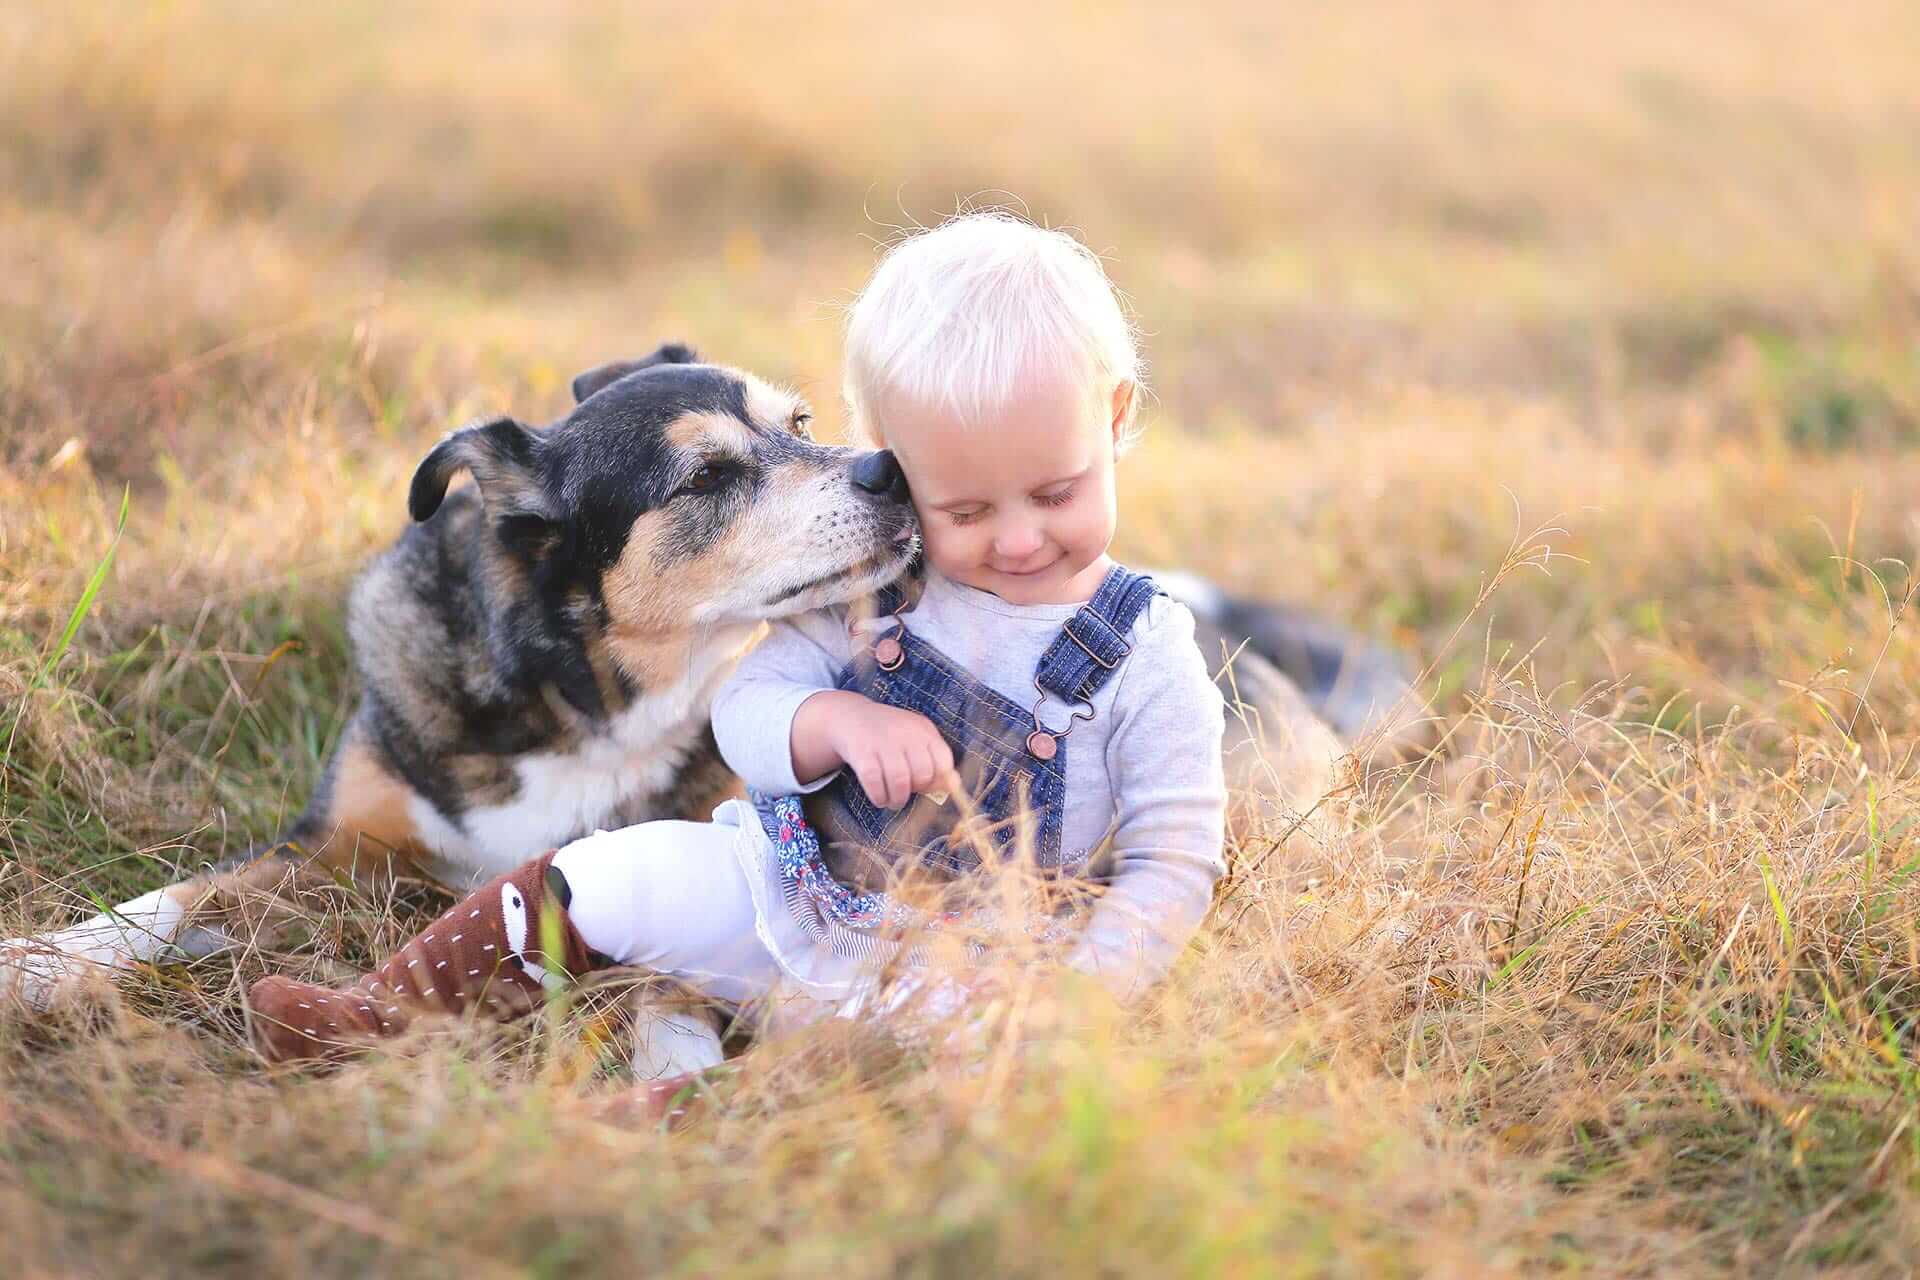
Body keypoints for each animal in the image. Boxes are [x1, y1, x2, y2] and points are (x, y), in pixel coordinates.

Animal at [0, 339, 1413, 1013]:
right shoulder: (335, 836)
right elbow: (174, 897)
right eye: (707, 476)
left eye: (799, 424)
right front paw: (45, 960)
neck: (583, 696)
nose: (892, 467)